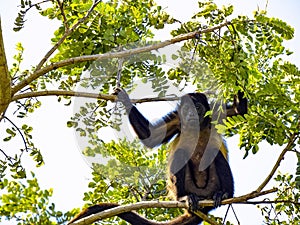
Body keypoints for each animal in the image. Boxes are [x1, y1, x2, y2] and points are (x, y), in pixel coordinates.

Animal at [69, 89, 247, 224]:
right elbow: (151, 136)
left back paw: (224, 194)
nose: (191, 114)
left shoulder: (215, 112)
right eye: (186, 109)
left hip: (211, 186)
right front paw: (125, 100)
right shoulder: (177, 118)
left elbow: (240, 111)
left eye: (197, 107)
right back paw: (184, 198)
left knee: (214, 153)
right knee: (181, 154)